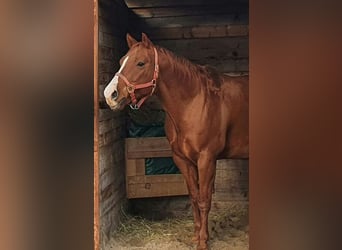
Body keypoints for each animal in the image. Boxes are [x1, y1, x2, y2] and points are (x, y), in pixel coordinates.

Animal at [103, 33, 247, 250]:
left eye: (140, 63)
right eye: (121, 62)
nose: (109, 95)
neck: (194, 102)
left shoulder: (206, 159)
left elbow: (204, 200)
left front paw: (203, 242)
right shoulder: (183, 160)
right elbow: (194, 197)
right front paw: (196, 237)